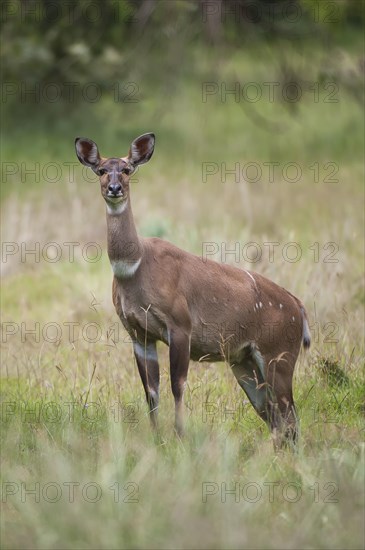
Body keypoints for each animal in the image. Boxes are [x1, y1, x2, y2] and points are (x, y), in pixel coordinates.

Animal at [75, 133, 308, 448]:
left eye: (126, 169)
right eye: (100, 169)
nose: (114, 188)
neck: (136, 267)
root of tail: (299, 308)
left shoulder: (180, 324)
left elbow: (178, 384)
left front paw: (180, 436)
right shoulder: (137, 332)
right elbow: (151, 391)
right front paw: (156, 438)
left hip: (278, 353)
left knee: (289, 413)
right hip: (245, 361)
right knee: (274, 413)